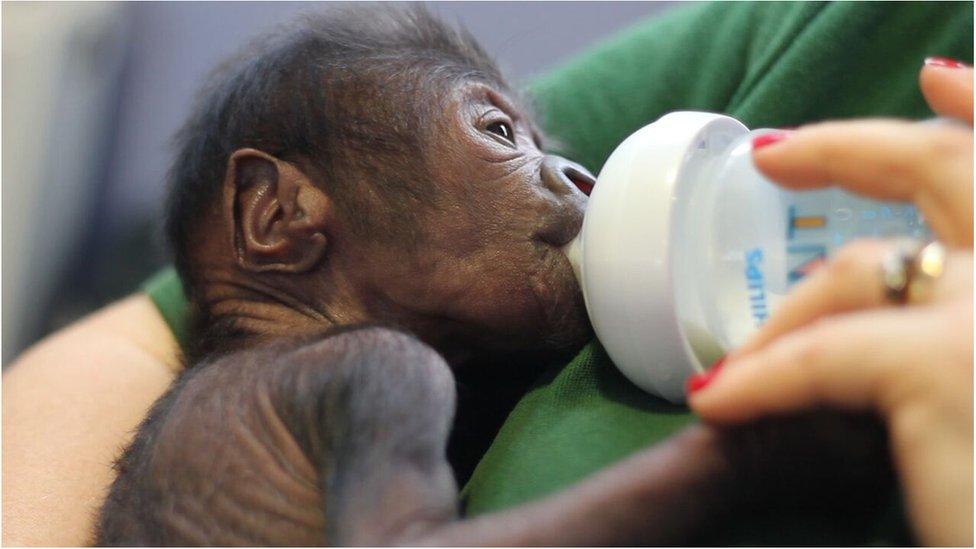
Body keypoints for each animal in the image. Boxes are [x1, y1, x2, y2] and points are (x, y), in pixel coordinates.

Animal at [95, 6, 896, 544]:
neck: (282, 329)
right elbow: (406, 537)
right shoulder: (384, 368)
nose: (583, 176)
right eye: (501, 133)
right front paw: (802, 436)